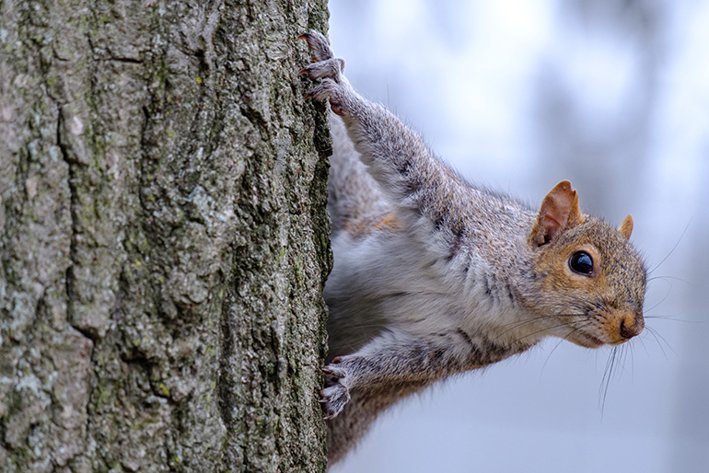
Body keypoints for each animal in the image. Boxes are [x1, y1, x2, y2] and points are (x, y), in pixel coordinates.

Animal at [298, 30, 648, 464]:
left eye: (644, 276)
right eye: (582, 262)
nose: (631, 328)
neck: (507, 302)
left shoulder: (464, 346)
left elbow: (398, 364)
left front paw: (348, 378)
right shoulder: (453, 213)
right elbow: (399, 149)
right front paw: (340, 87)